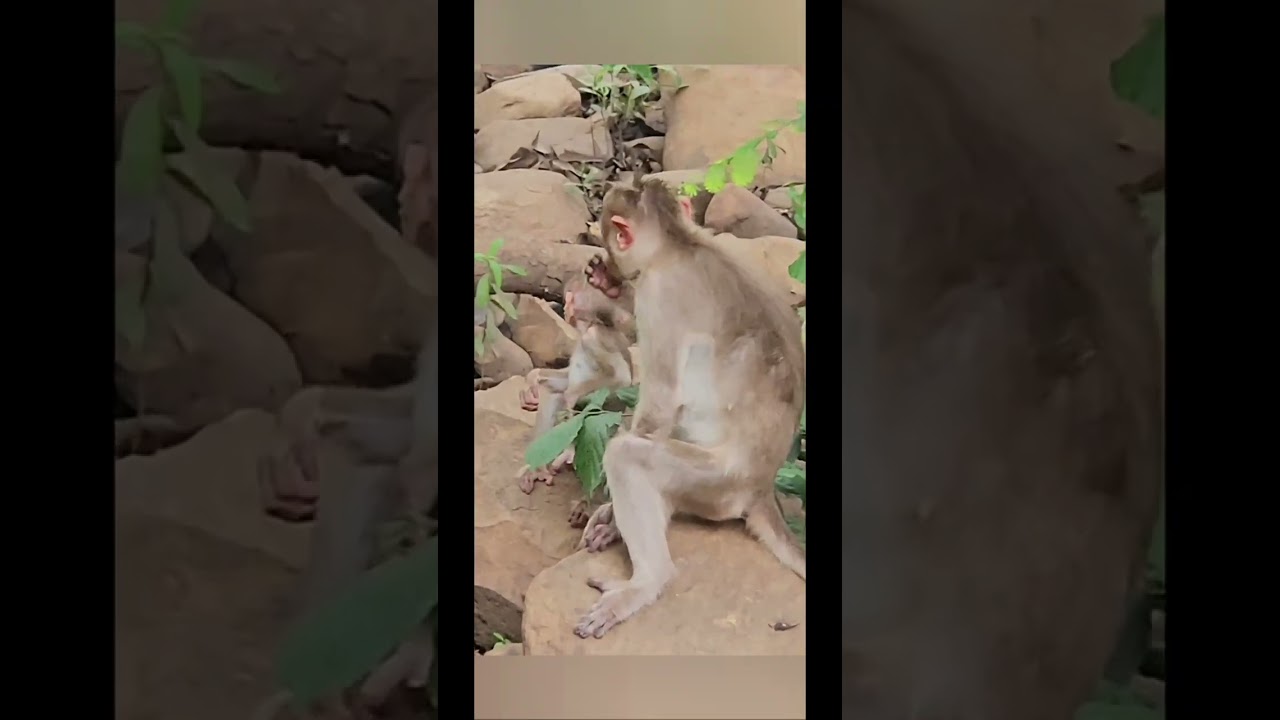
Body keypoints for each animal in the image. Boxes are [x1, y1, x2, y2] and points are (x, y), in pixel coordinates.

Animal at [569, 175, 806, 639]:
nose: (613, 266)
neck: (680, 243)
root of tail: (761, 487)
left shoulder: (660, 297)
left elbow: (659, 404)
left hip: (715, 483)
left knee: (629, 454)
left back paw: (647, 580)